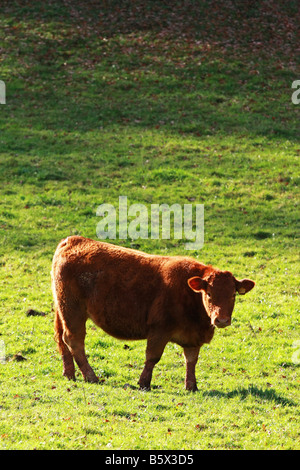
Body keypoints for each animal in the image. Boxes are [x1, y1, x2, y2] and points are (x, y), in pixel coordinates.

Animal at [52, 237, 255, 392]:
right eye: (209, 294)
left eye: (233, 295)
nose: (221, 320)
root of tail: (73, 240)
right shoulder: (159, 329)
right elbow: (152, 357)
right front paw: (144, 383)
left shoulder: (193, 338)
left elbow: (191, 360)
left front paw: (191, 386)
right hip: (73, 311)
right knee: (73, 340)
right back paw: (91, 376)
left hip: (62, 310)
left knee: (61, 339)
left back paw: (69, 374)